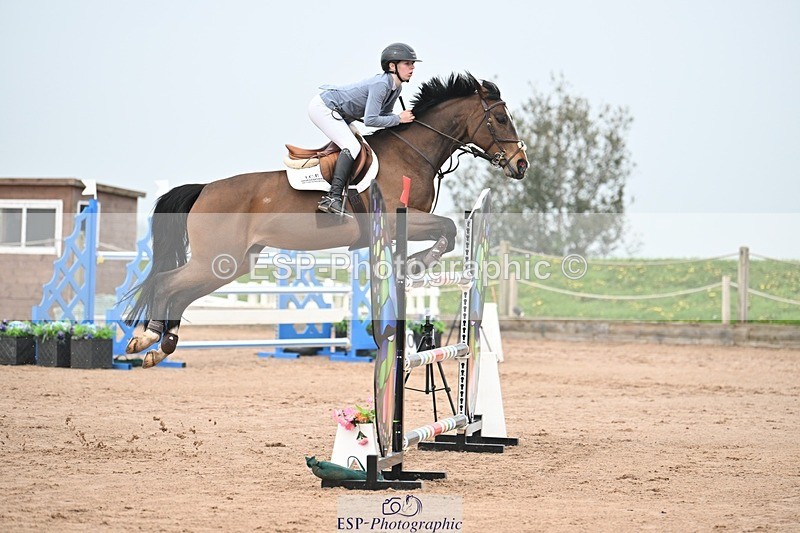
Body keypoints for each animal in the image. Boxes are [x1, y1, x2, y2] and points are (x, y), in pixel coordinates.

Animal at [124, 72, 528, 368]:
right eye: (499, 118)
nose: (521, 164)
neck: (414, 153)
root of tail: (205, 188)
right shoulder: (401, 219)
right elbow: (449, 228)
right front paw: (418, 263)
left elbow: (446, 232)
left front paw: (413, 265)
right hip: (216, 260)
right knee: (167, 282)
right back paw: (148, 338)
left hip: (233, 263)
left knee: (179, 290)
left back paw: (160, 345)